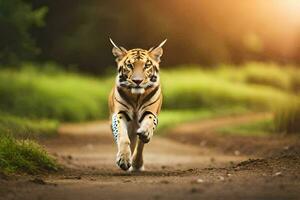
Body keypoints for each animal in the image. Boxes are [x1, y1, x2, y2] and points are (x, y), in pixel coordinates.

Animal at [108, 38, 166, 171]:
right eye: (129, 65)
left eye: (147, 65)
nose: (137, 81)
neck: (136, 97)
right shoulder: (120, 113)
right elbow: (122, 136)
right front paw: (123, 159)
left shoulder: (150, 112)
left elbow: (149, 122)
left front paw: (145, 132)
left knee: (140, 145)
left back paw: (137, 163)